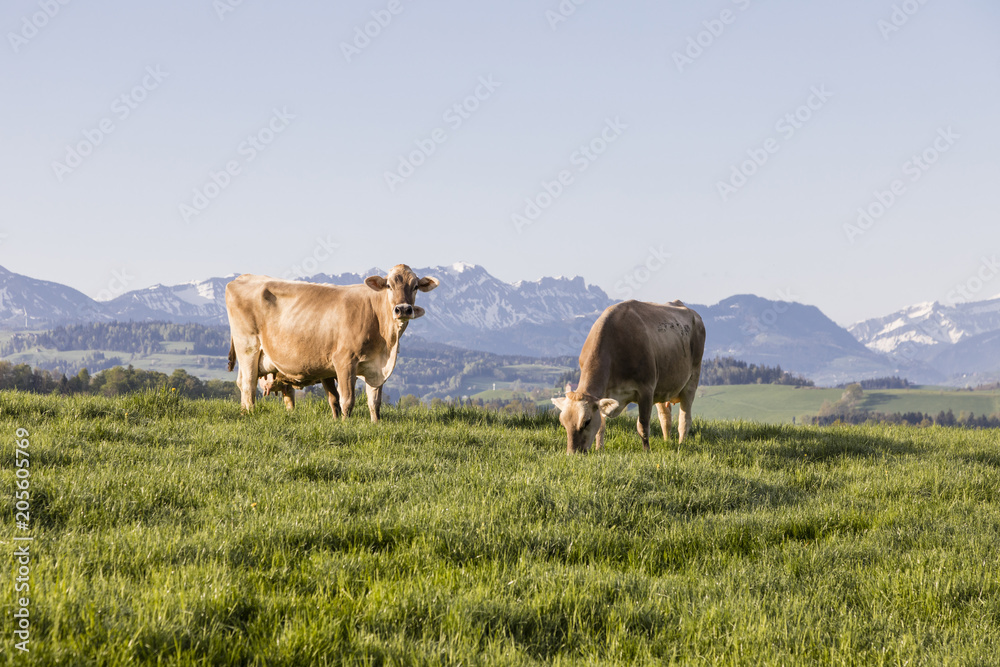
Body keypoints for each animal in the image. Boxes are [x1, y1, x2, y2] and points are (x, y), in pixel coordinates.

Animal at [227, 264, 438, 420]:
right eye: (389, 285)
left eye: (416, 286)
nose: (403, 309)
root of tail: (242, 278)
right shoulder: (344, 361)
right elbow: (346, 399)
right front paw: (345, 424)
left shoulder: (375, 366)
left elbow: (374, 401)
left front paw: (376, 424)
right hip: (248, 346)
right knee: (248, 383)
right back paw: (250, 414)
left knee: (246, 384)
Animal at [552, 302, 708, 454]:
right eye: (563, 423)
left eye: (586, 421)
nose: (572, 453)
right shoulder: (604, 394)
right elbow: (601, 426)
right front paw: (599, 448)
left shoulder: (646, 389)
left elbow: (643, 426)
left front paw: (646, 451)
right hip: (663, 386)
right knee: (665, 417)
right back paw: (667, 441)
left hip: (692, 379)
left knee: (685, 419)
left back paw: (681, 444)